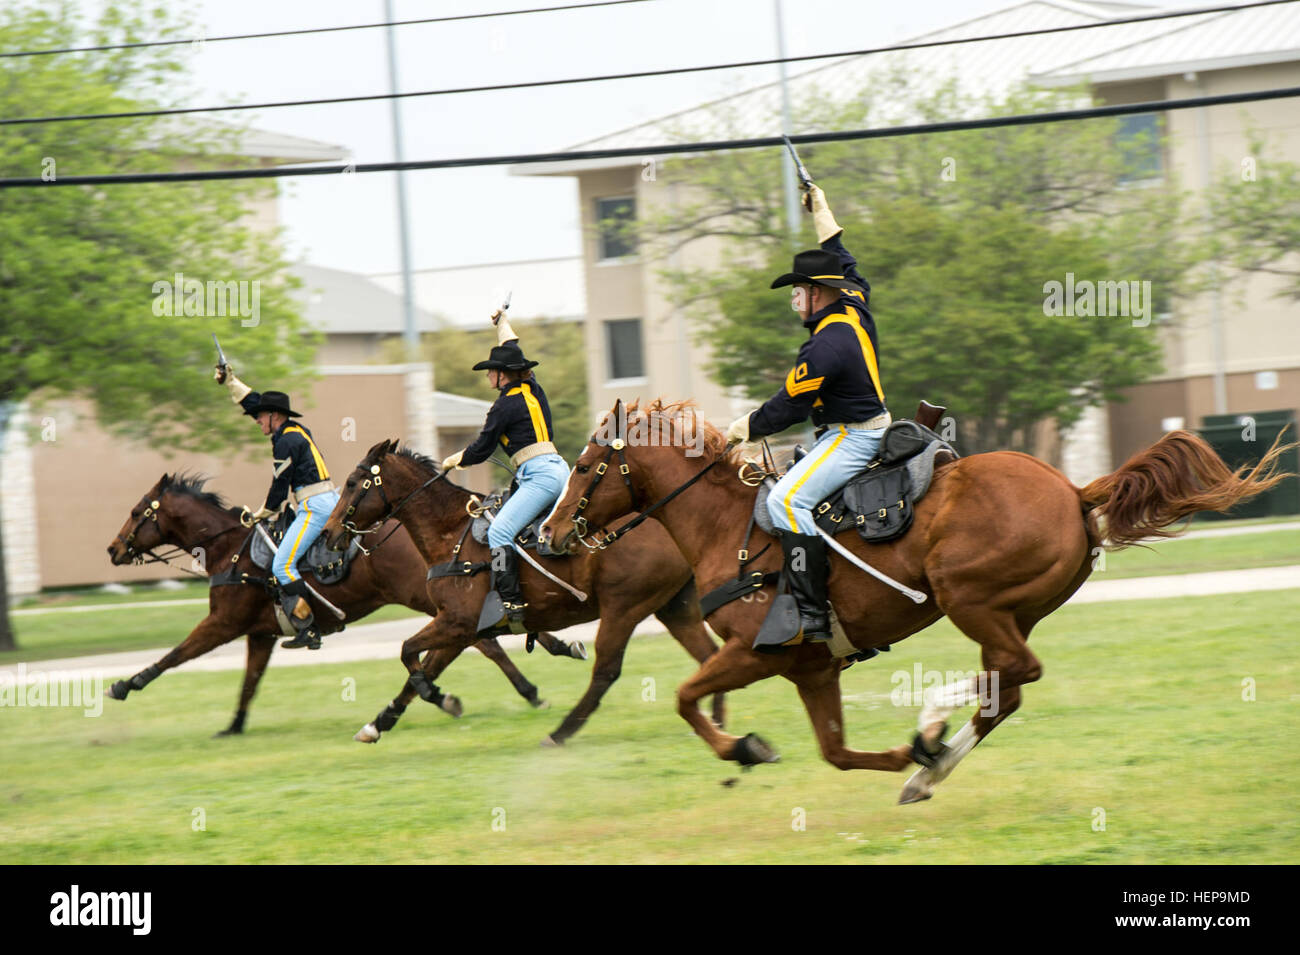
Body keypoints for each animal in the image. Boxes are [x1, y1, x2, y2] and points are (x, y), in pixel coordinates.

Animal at [106, 475, 585, 738]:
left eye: (137, 511)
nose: (113, 549)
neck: (229, 551)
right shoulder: (259, 634)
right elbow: (249, 682)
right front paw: (235, 725)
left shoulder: (222, 623)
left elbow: (174, 655)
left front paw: (126, 684)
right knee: (485, 638)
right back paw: (548, 658)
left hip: (432, 604)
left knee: (484, 643)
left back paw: (521, 687)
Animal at [314, 441, 722, 748]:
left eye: (352, 482)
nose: (329, 534)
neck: (450, 534)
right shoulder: (461, 629)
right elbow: (422, 665)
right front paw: (379, 724)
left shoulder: (456, 623)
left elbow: (409, 656)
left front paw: (436, 694)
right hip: (674, 607)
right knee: (709, 656)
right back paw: (716, 723)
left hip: (623, 608)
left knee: (606, 672)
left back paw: (560, 733)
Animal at [543, 400, 1294, 805]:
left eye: (582, 467)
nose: (550, 535)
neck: (730, 531)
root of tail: (1074, 489)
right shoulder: (812, 669)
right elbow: (837, 752)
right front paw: (903, 764)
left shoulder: (756, 654)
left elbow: (685, 696)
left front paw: (745, 748)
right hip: (1009, 613)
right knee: (1006, 690)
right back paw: (927, 769)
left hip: (970, 600)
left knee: (1014, 676)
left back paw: (931, 721)